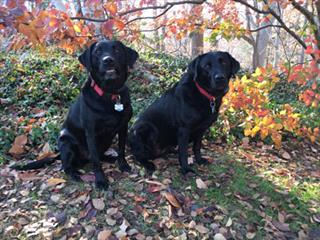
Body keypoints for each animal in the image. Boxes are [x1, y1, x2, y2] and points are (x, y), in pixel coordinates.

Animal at [13, 39, 138, 189]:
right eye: (98, 52)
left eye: (117, 50)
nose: (108, 60)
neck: (110, 94)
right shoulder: (91, 132)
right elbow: (95, 160)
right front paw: (100, 181)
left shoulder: (123, 127)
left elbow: (121, 149)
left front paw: (123, 165)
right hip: (67, 143)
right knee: (66, 167)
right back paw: (75, 175)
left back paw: (109, 158)